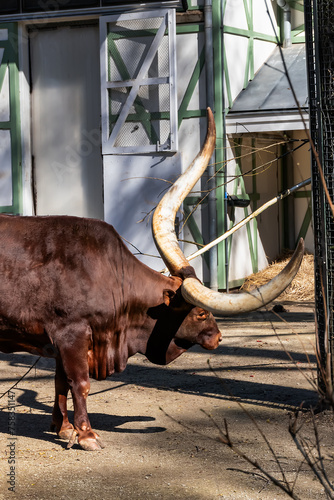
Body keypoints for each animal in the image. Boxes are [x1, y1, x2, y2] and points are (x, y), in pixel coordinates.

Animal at [0, 108, 304, 450]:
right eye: (201, 313)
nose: (219, 338)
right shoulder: (71, 332)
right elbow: (79, 382)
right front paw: (87, 434)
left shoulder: (62, 340)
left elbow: (60, 381)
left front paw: (64, 428)